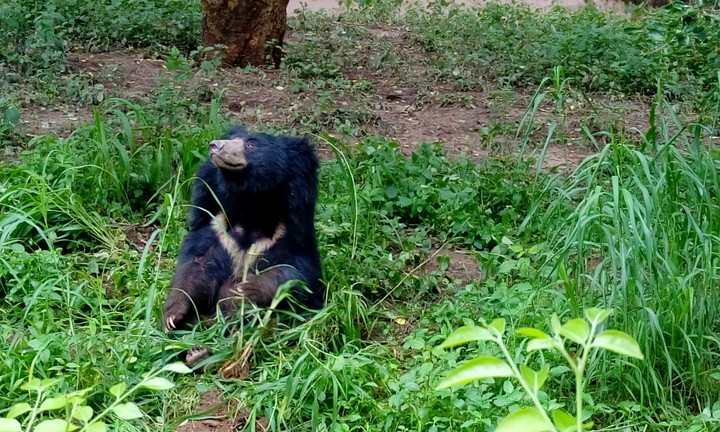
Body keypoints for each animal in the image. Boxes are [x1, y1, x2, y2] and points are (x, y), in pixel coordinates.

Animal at [162, 125, 325, 338]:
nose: (215, 145)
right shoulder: (216, 230)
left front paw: (244, 289)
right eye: (232, 138)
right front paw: (172, 317)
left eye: (252, 144)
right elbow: (195, 268)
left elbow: (299, 274)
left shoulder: (291, 233)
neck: (251, 207)